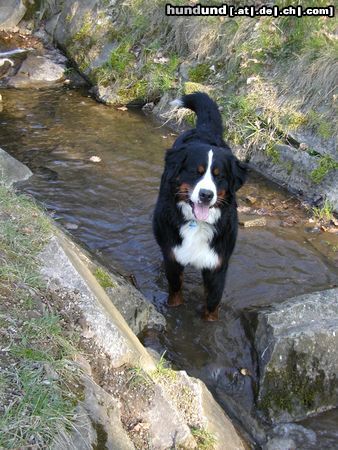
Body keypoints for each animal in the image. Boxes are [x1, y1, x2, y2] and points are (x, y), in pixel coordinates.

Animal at [153, 92, 246, 320]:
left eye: (219, 176)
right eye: (196, 171)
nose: (206, 194)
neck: (197, 224)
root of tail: (204, 131)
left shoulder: (217, 265)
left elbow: (212, 303)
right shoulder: (173, 256)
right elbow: (175, 290)